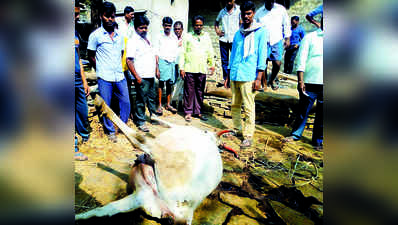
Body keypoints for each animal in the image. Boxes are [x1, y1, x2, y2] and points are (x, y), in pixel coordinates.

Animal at [75, 95, 224, 225]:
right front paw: (155, 115)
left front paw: (153, 115)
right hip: (145, 189)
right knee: (104, 210)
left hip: (163, 157)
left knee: (138, 140)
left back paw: (101, 104)